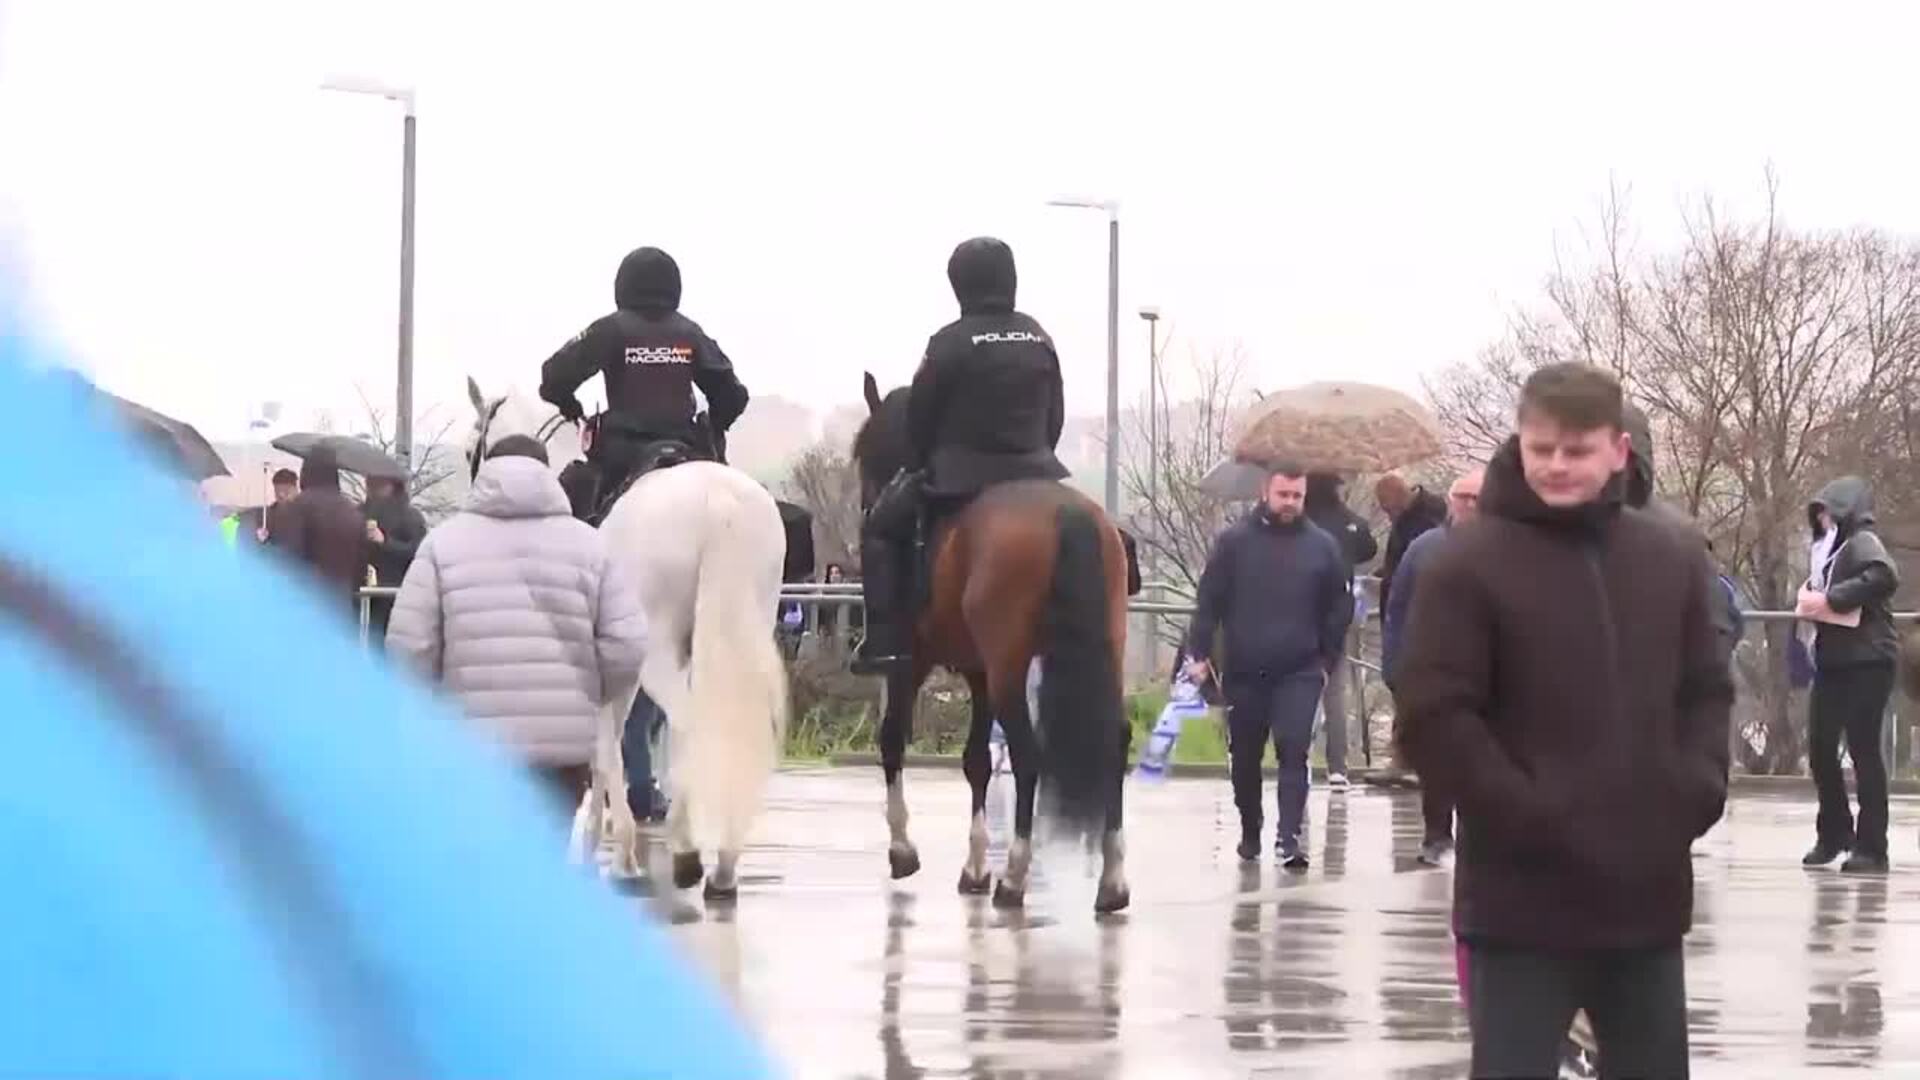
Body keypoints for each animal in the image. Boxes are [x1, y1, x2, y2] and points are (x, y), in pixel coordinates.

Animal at [460, 374, 791, 895]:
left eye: (470, 447)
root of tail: (717, 502)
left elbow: (604, 746)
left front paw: (616, 850)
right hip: (747, 627)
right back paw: (722, 861)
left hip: (653, 650)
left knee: (690, 722)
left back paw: (686, 850)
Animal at [848, 368, 1128, 907]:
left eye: (867, 455)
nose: (870, 505)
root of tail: (1066, 516)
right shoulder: (977, 670)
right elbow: (976, 759)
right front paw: (975, 867)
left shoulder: (913, 662)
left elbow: (891, 738)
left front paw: (903, 849)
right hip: (1103, 654)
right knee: (1114, 742)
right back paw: (1112, 879)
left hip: (1009, 666)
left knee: (1028, 753)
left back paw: (1016, 875)